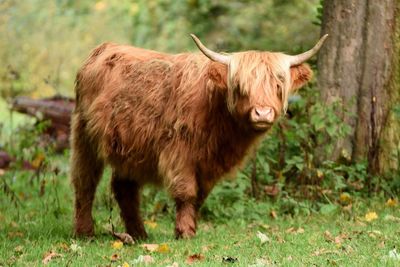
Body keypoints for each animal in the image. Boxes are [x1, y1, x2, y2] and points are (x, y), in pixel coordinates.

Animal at [71, 34, 328, 241]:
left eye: (278, 84)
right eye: (239, 86)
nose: (263, 113)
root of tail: (103, 48)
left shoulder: (210, 165)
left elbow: (200, 196)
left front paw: (191, 228)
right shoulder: (180, 153)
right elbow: (187, 193)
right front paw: (184, 232)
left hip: (129, 147)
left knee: (124, 188)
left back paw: (139, 234)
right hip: (84, 136)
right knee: (85, 182)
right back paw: (85, 233)